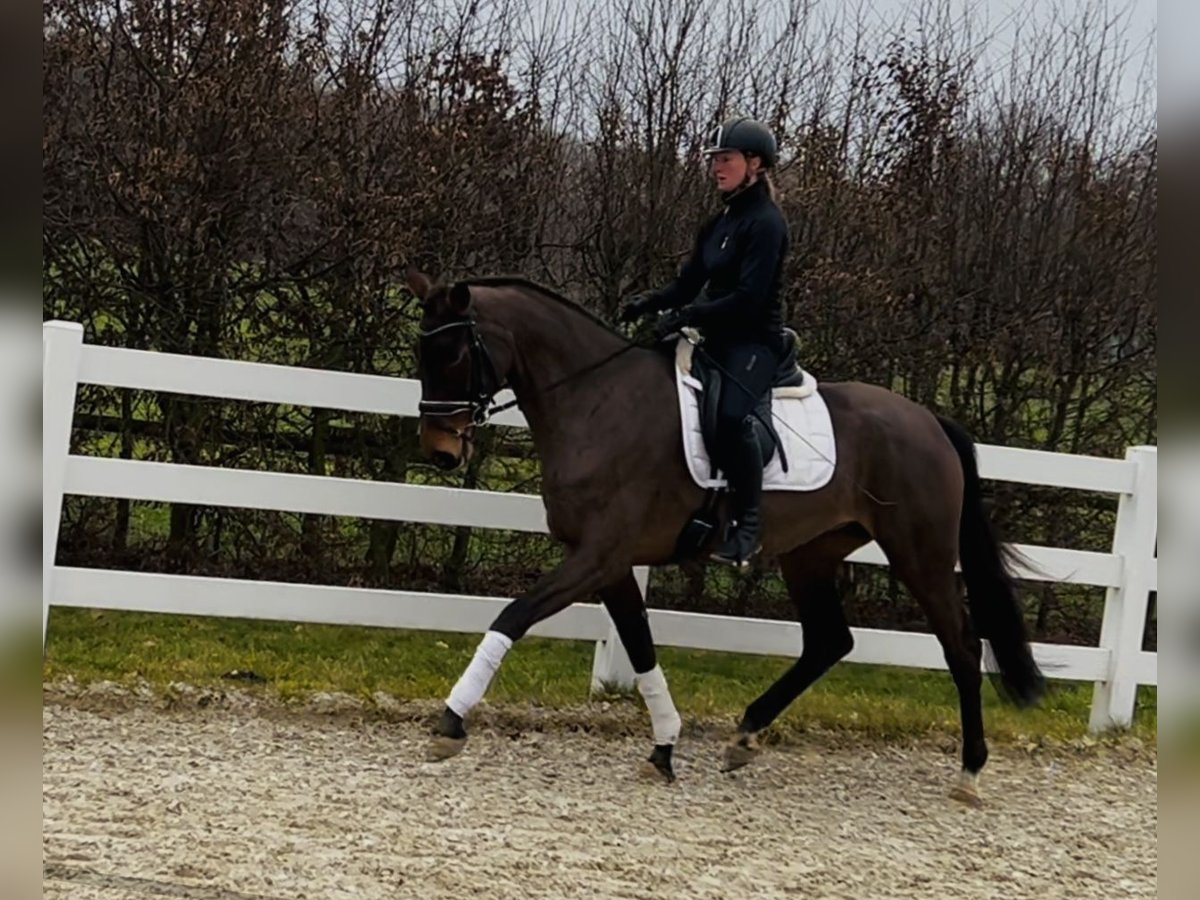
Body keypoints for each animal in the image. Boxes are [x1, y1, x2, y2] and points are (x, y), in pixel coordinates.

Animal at [408, 270, 1046, 811]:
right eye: (421, 354)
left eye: (454, 354)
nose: (439, 452)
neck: (598, 402)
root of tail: (930, 421)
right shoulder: (610, 565)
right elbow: (640, 649)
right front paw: (664, 747)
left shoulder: (597, 556)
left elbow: (513, 616)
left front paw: (451, 723)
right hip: (811, 553)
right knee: (829, 641)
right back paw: (744, 736)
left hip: (922, 554)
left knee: (961, 647)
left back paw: (970, 771)